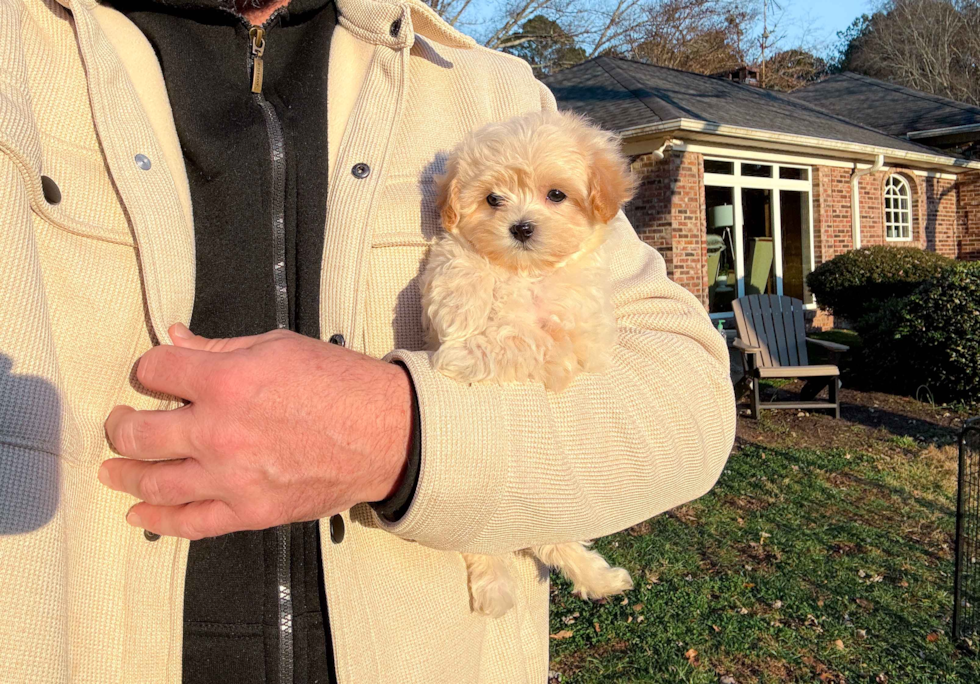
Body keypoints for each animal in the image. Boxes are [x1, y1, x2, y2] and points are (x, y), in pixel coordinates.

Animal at [424, 109, 640, 616]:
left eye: (556, 194)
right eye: (492, 199)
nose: (520, 228)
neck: (527, 273)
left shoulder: (573, 343)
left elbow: (525, 340)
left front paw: (467, 352)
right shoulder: (462, 252)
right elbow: (461, 257)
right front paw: (463, 308)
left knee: (549, 540)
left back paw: (597, 578)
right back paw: (495, 587)